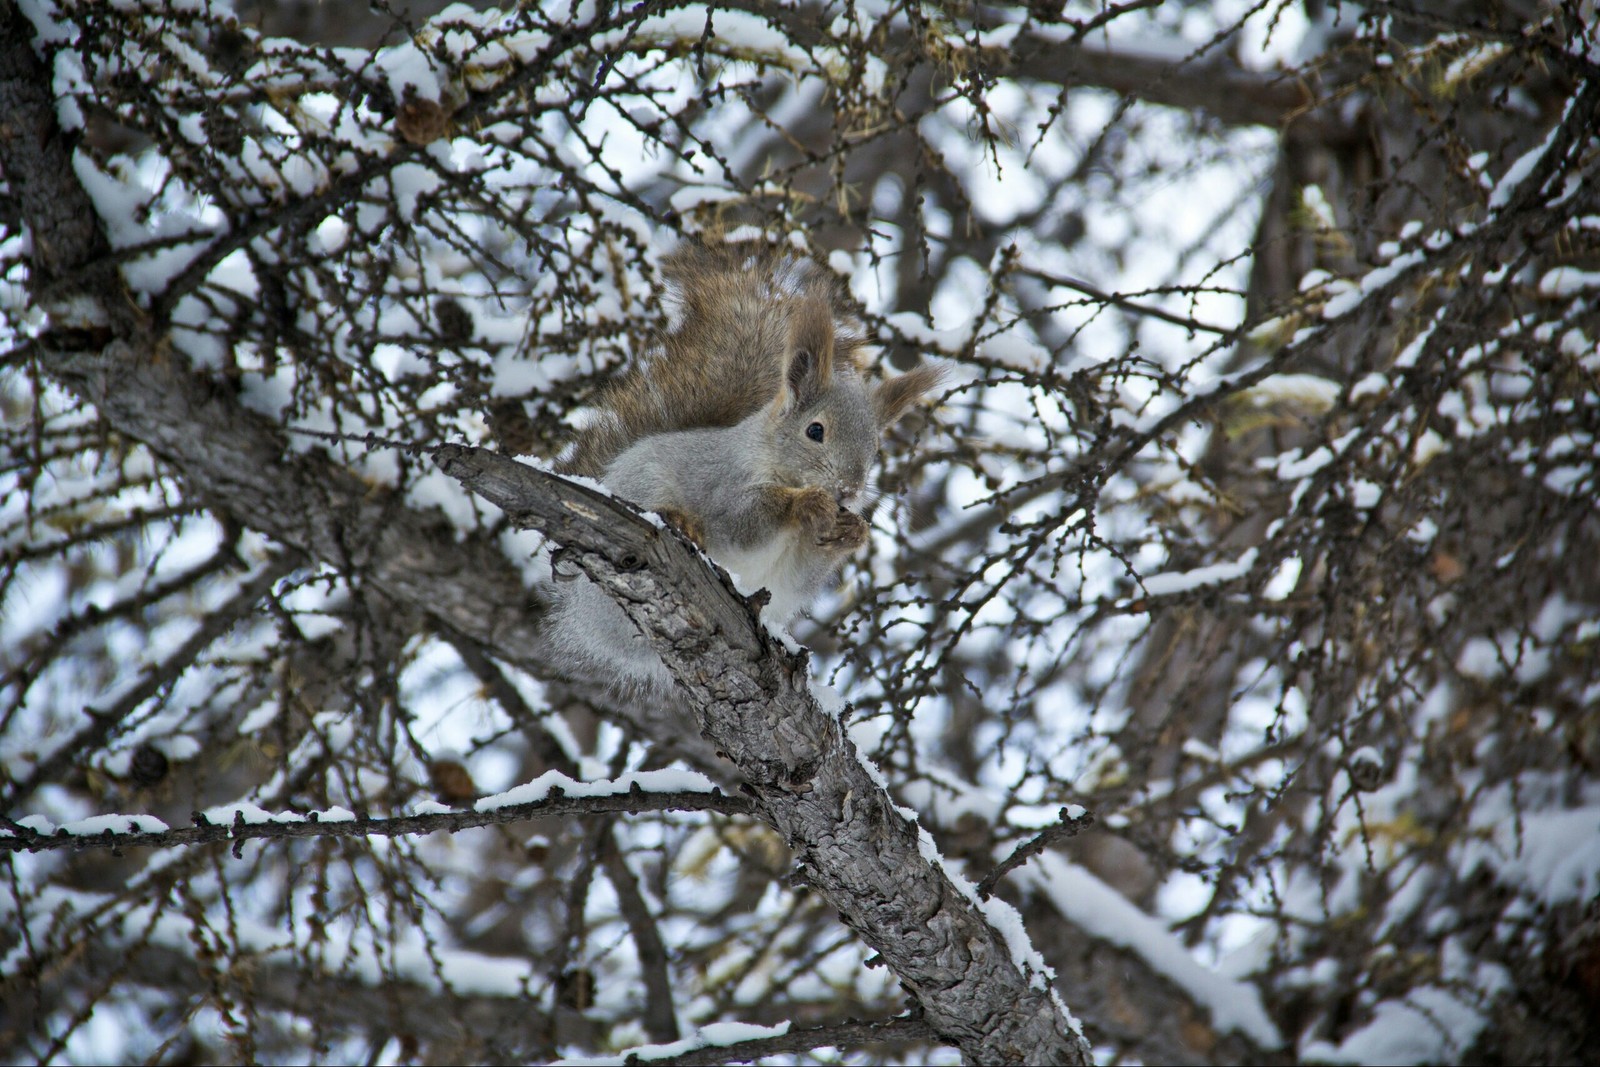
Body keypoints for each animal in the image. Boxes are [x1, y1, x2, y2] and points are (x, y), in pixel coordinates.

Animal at [544, 238, 940, 694]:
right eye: (815, 430)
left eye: (876, 448)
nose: (848, 490)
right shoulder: (725, 483)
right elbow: (741, 521)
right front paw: (805, 504)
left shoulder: (790, 574)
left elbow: (799, 575)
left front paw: (853, 531)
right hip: (643, 486)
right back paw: (681, 522)